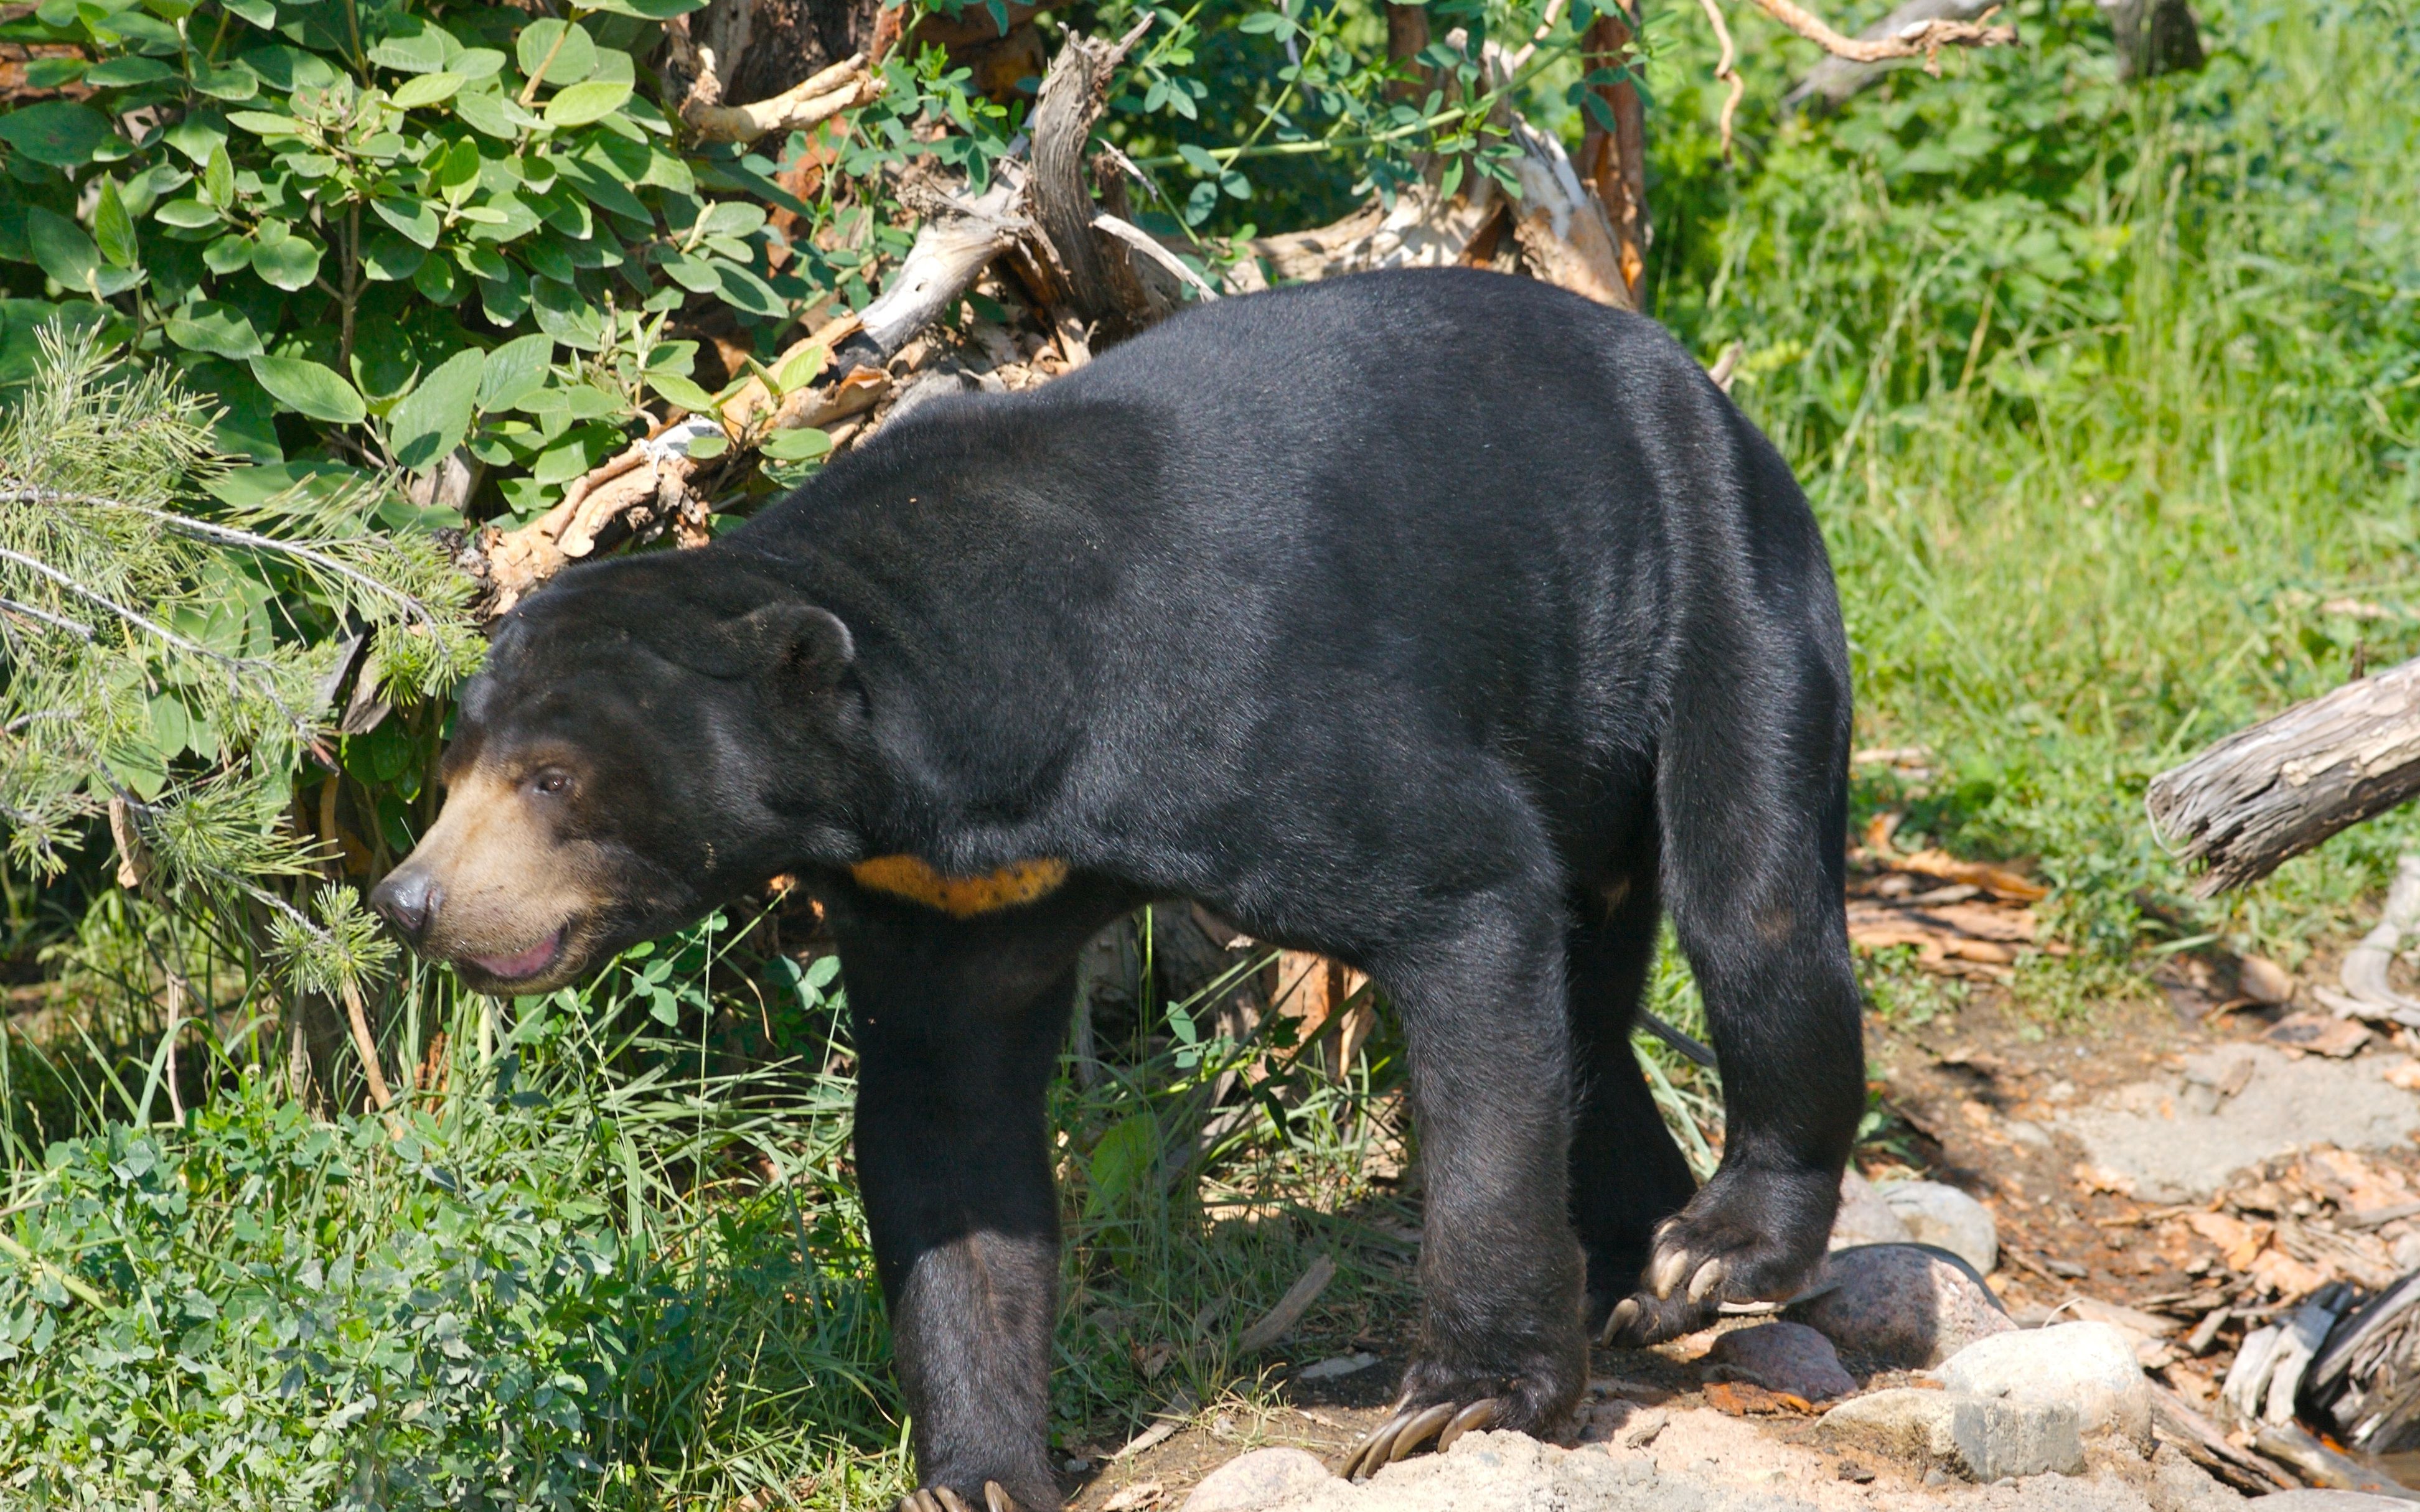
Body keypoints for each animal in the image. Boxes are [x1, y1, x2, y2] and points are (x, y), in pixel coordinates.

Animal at [372, 266, 1865, 1511]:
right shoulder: (939, 893)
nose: (410, 903)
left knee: (1754, 908)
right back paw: (1634, 1272)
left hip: (1722, 590)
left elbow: (1464, 894)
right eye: (455, 768)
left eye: (554, 780)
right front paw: (978, 1473)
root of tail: (1695, 382)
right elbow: (950, 1133)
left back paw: (1718, 1248)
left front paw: (1460, 1403)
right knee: (1595, 1018)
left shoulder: (1238, 709)